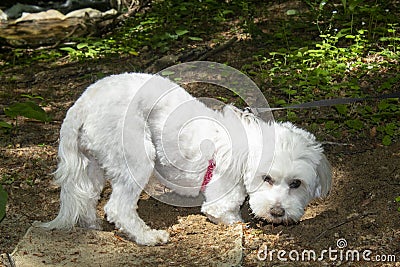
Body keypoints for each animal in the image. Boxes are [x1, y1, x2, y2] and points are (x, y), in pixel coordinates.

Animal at [39, 73, 332, 245]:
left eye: (296, 184)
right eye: (266, 178)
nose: (277, 212)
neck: (246, 149)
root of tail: (82, 104)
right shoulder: (220, 200)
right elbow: (227, 215)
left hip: (92, 164)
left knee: (88, 197)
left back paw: (92, 225)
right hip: (137, 156)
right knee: (118, 208)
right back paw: (148, 236)